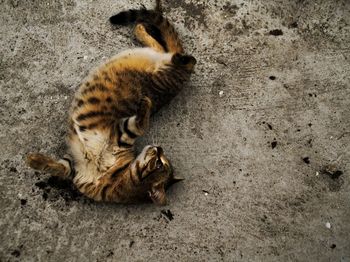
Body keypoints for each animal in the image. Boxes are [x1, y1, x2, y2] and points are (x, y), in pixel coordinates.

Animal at [26, 0, 197, 205]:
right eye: (160, 160)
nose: (159, 148)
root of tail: (182, 76)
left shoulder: (119, 134)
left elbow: (141, 124)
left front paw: (146, 105)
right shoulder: (79, 162)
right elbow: (55, 166)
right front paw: (36, 160)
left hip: (168, 71)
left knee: (186, 58)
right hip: (163, 62)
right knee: (171, 50)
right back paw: (141, 30)